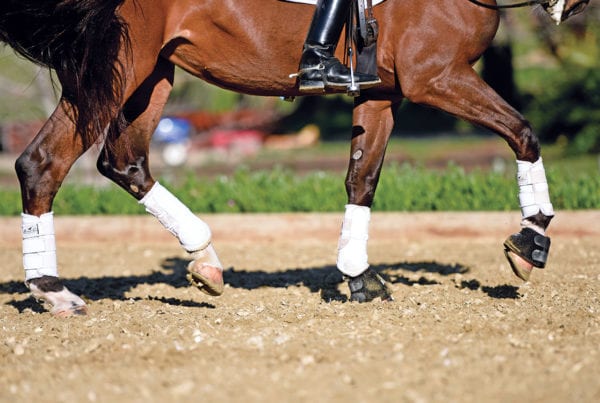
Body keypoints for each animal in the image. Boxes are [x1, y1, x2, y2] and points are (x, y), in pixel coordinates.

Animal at [0, 0, 592, 316]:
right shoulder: (436, 76)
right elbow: (523, 133)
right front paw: (531, 241)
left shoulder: (382, 91)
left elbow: (362, 178)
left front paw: (359, 276)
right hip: (121, 66)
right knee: (43, 161)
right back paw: (54, 292)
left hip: (154, 72)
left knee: (124, 161)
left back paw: (206, 259)